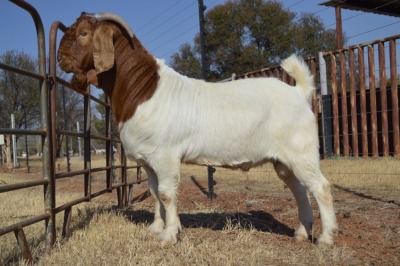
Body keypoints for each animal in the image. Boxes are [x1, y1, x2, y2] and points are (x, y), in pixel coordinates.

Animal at [56, 12, 338, 245]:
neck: (144, 91)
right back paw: (301, 233)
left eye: (83, 33)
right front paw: (156, 229)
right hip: (283, 161)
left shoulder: (165, 156)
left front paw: (170, 235)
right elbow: (154, 193)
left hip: (301, 151)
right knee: (299, 190)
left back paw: (326, 238)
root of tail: (298, 92)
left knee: (321, 187)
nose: (59, 57)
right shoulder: (148, 161)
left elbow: (166, 194)